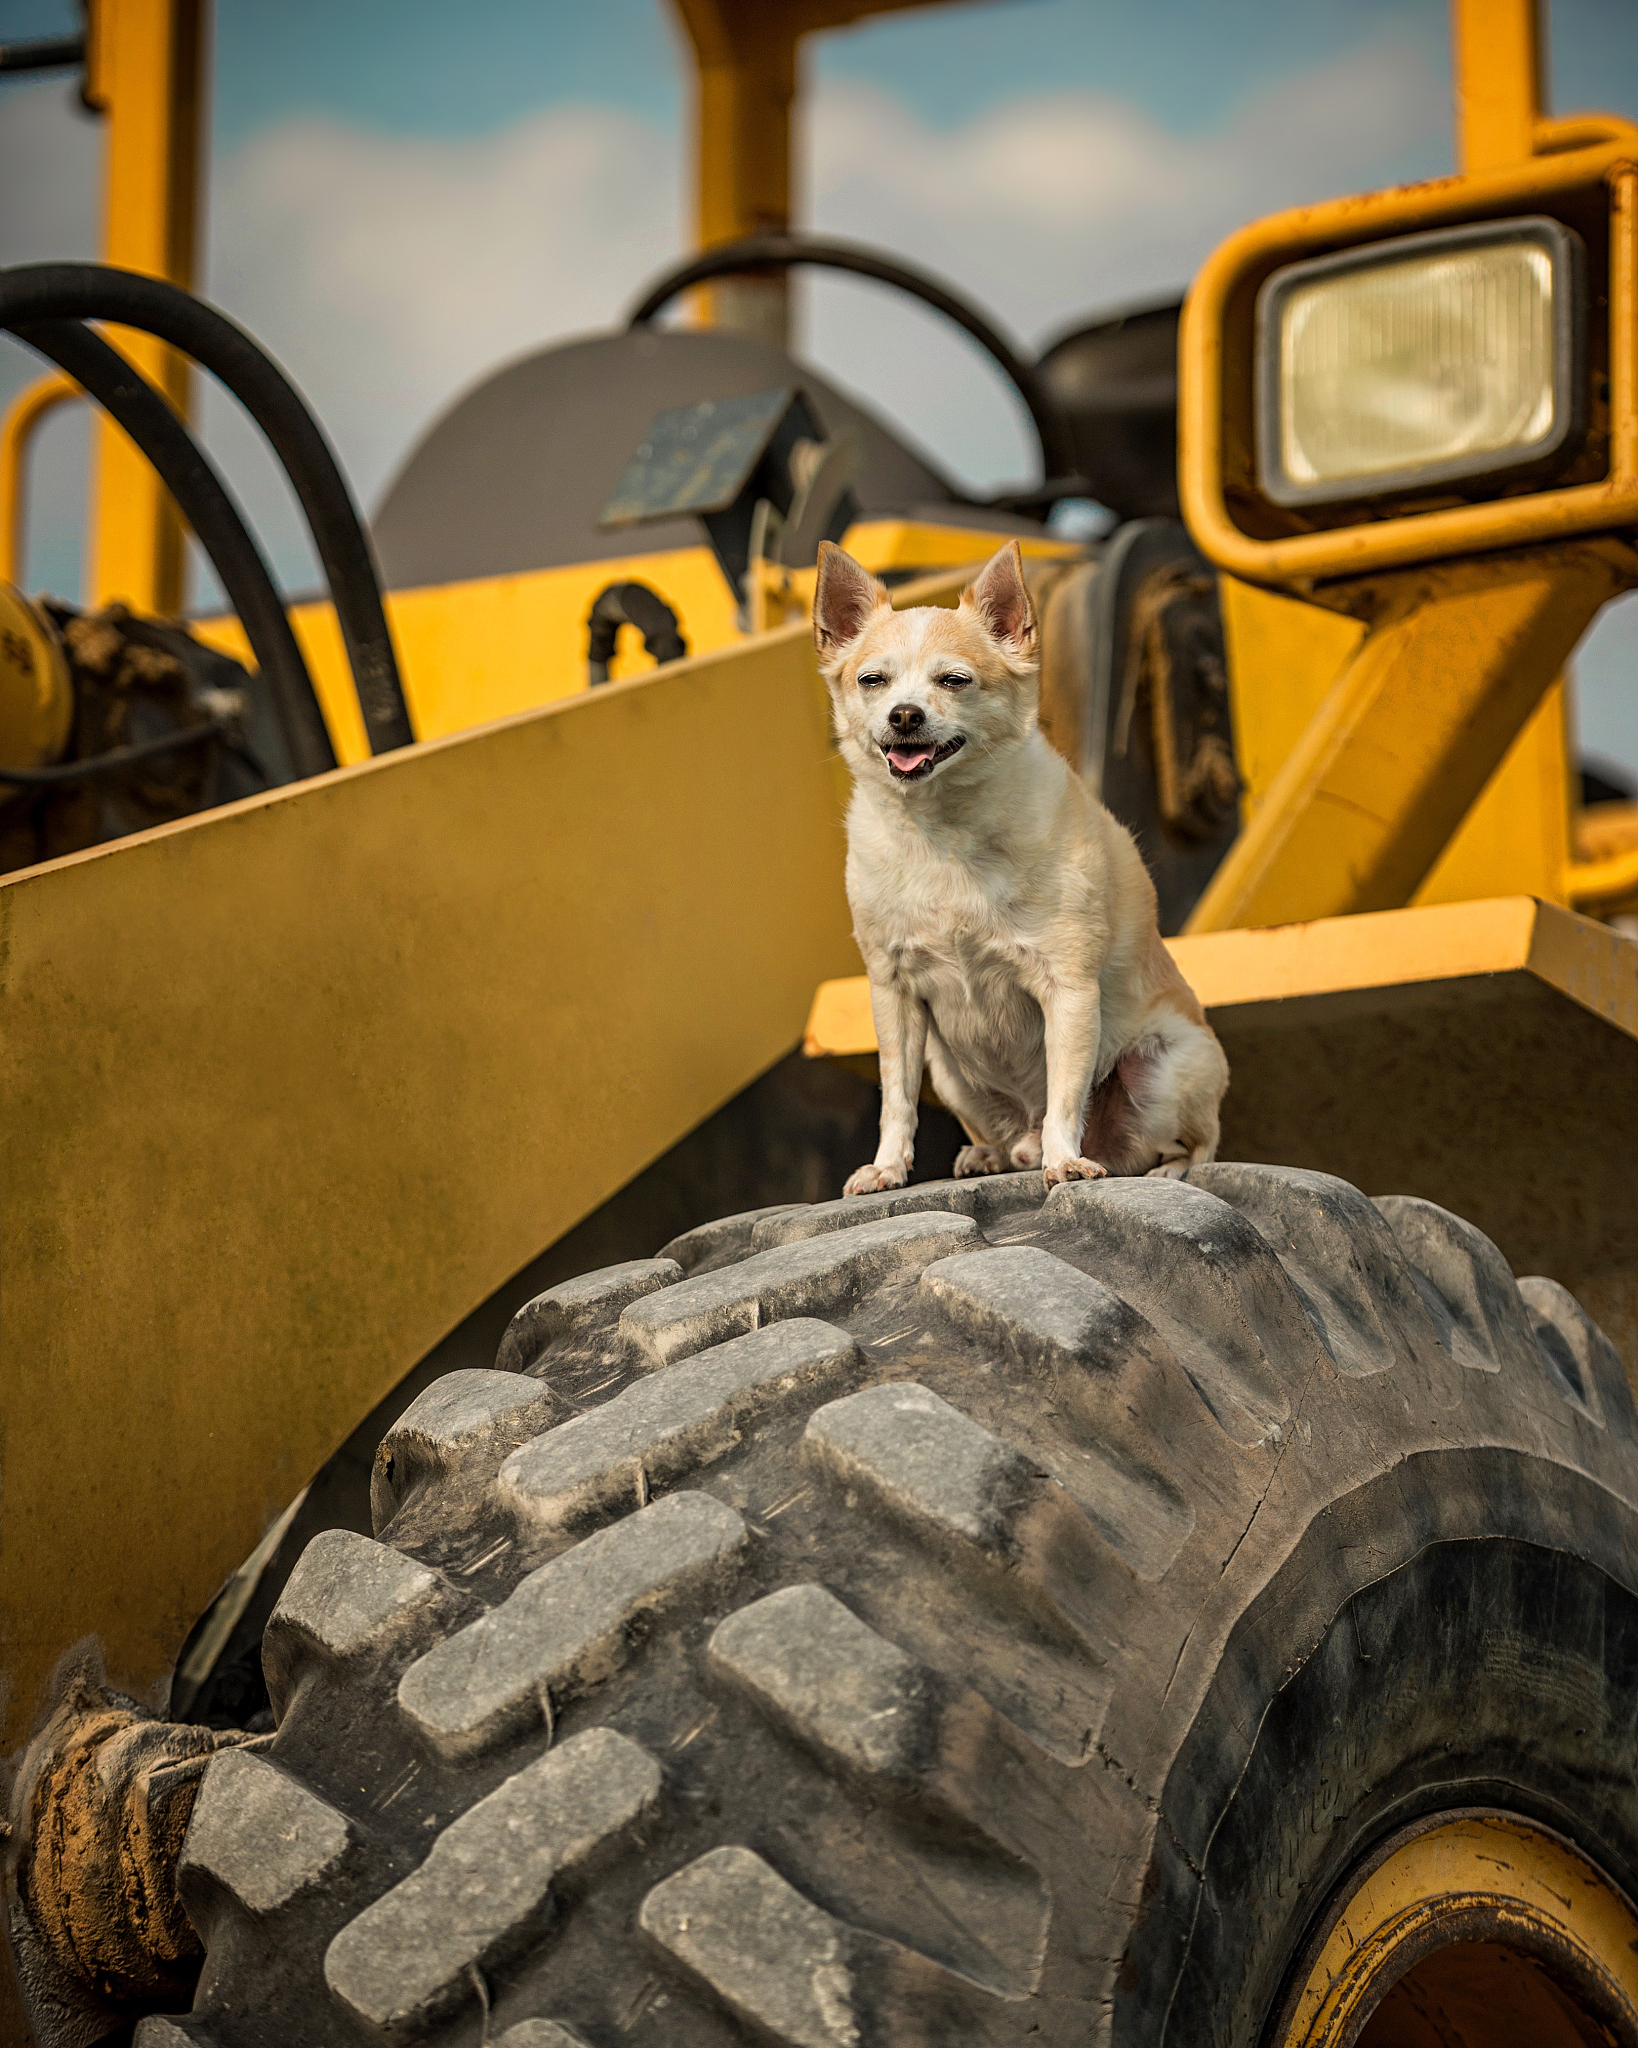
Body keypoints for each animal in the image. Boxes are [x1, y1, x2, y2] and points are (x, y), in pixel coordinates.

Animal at [818, 536, 1228, 1196]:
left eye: (954, 681)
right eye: (872, 681)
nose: (904, 714)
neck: (942, 831)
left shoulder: (1068, 989)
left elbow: (1066, 1092)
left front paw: (1064, 1160)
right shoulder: (894, 994)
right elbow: (896, 1098)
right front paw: (887, 1167)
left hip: (1166, 1066)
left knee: (1194, 1142)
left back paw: (1161, 1164)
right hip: (947, 1069)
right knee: (1009, 1137)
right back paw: (992, 1153)